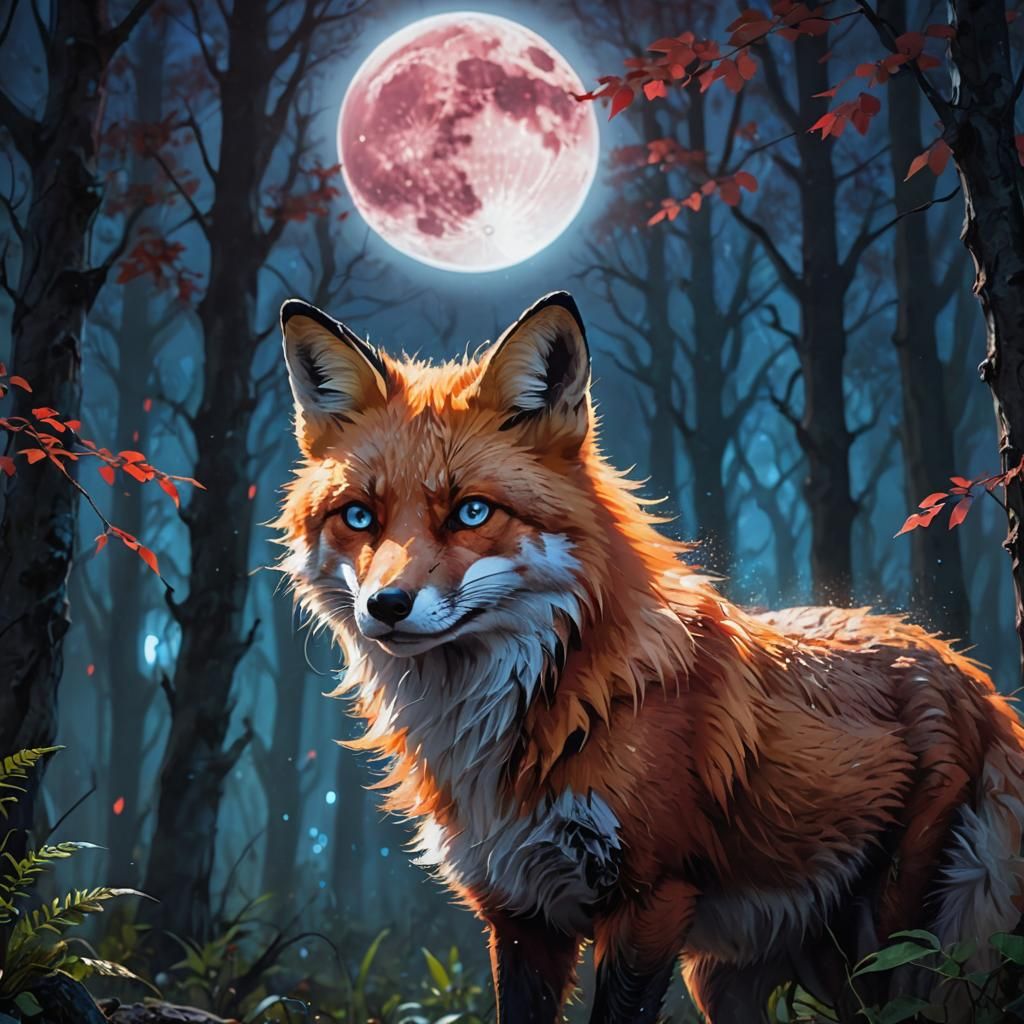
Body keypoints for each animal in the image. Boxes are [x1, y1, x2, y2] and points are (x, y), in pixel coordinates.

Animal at [276, 290, 1024, 1023]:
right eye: (360, 517)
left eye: (471, 512)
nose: (386, 605)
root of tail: (968, 670)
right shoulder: (519, 914)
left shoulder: (652, 900)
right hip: (740, 978)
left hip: (891, 948)